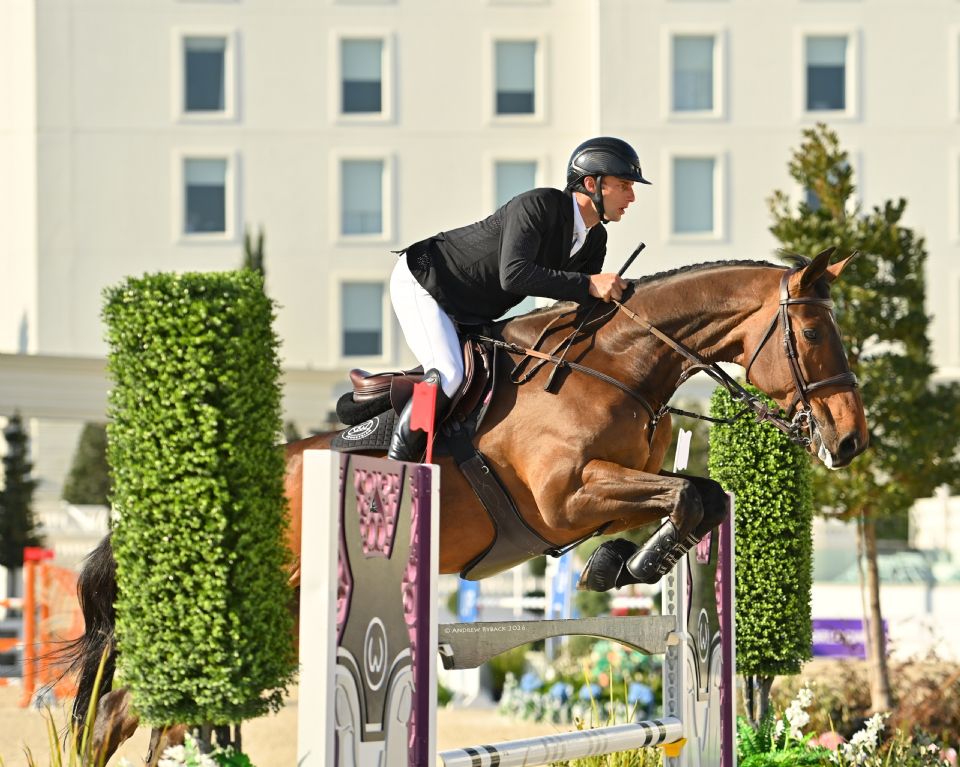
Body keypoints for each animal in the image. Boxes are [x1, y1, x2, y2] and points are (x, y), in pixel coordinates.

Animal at [64, 248, 867, 764]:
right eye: (811, 331)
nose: (851, 440)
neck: (621, 365)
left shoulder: (603, 495)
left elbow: (697, 497)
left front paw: (621, 562)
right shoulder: (565, 497)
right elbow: (691, 493)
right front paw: (626, 564)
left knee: (151, 718)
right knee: (125, 709)